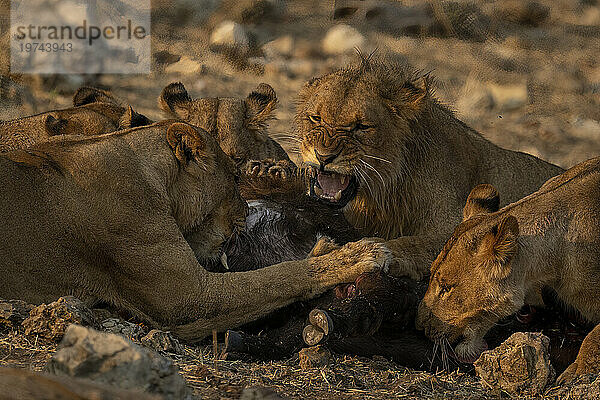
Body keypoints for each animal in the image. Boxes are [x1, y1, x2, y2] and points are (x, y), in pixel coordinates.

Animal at [296, 57, 564, 280]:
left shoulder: (457, 220)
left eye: (362, 127)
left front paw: (359, 254)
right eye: (315, 119)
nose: (324, 156)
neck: (385, 192)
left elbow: (410, 244)